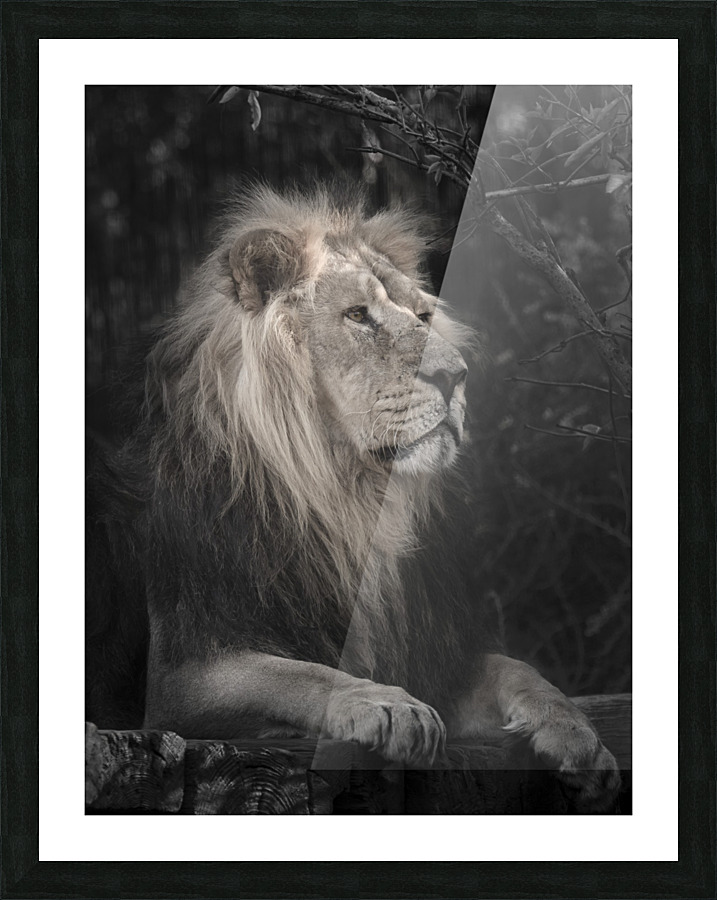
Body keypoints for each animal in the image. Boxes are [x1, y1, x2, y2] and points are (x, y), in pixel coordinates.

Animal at [86, 183, 620, 812]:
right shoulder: (182, 677)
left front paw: (577, 736)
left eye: (422, 316)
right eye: (359, 316)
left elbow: (517, 669)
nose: (457, 375)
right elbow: (298, 674)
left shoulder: (428, 650)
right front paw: (387, 705)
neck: (347, 500)